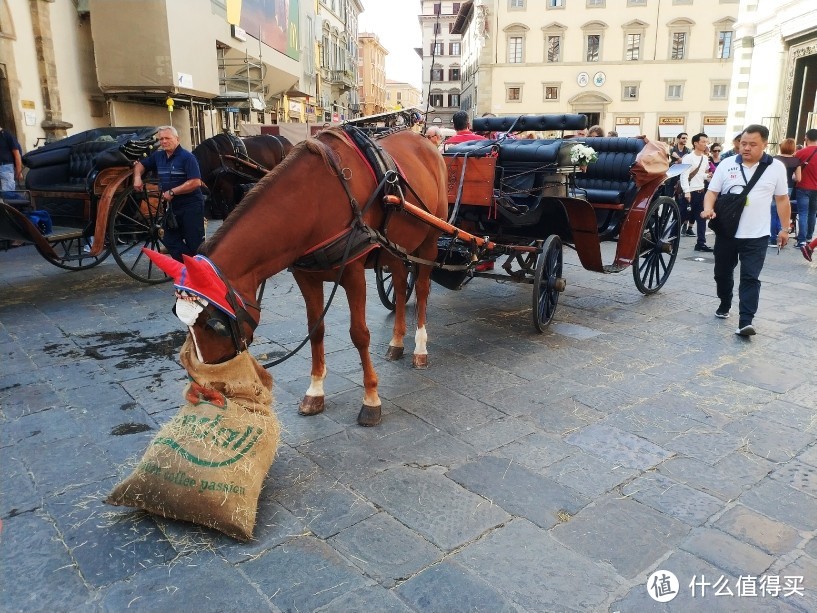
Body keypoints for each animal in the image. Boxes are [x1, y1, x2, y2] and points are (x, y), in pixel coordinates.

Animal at [145, 128, 446, 426]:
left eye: (214, 325)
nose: (208, 390)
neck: (316, 199)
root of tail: (426, 143)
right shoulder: (305, 276)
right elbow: (316, 329)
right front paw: (315, 392)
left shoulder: (353, 273)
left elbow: (359, 334)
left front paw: (371, 399)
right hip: (396, 247)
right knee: (400, 283)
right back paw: (397, 342)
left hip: (429, 241)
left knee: (421, 289)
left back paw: (420, 349)